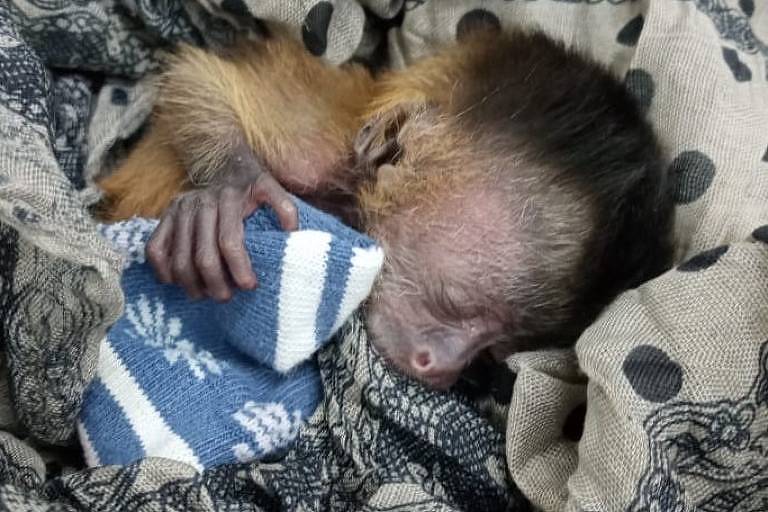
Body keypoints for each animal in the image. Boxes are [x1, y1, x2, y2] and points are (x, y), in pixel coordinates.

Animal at [99, 27, 676, 388]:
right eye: (453, 303)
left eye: (493, 352)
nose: (440, 370)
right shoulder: (314, 149)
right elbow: (194, 75)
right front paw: (230, 184)